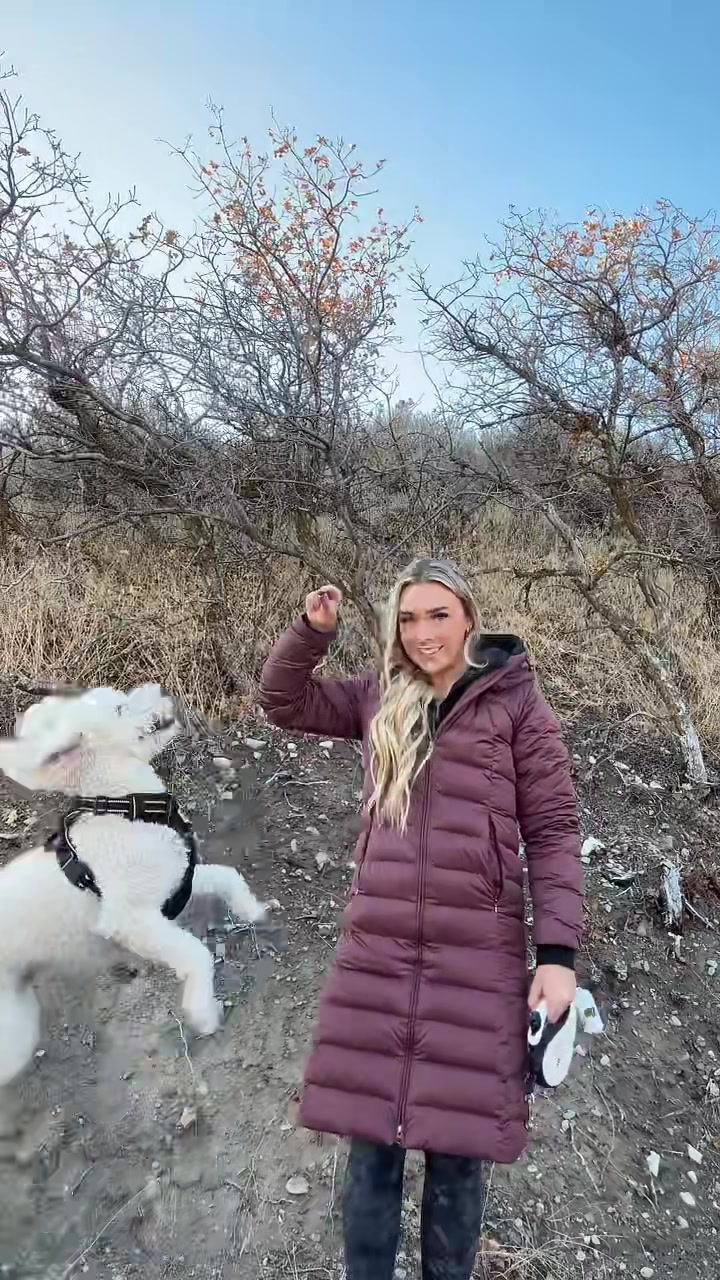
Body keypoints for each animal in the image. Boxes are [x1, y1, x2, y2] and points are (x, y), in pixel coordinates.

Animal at [0, 682, 273, 1087]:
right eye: (119, 708)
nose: (160, 689)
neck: (127, 809)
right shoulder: (132, 922)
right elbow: (197, 953)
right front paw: (202, 1011)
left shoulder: (176, 880)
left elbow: (228, 875)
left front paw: (251, 908)